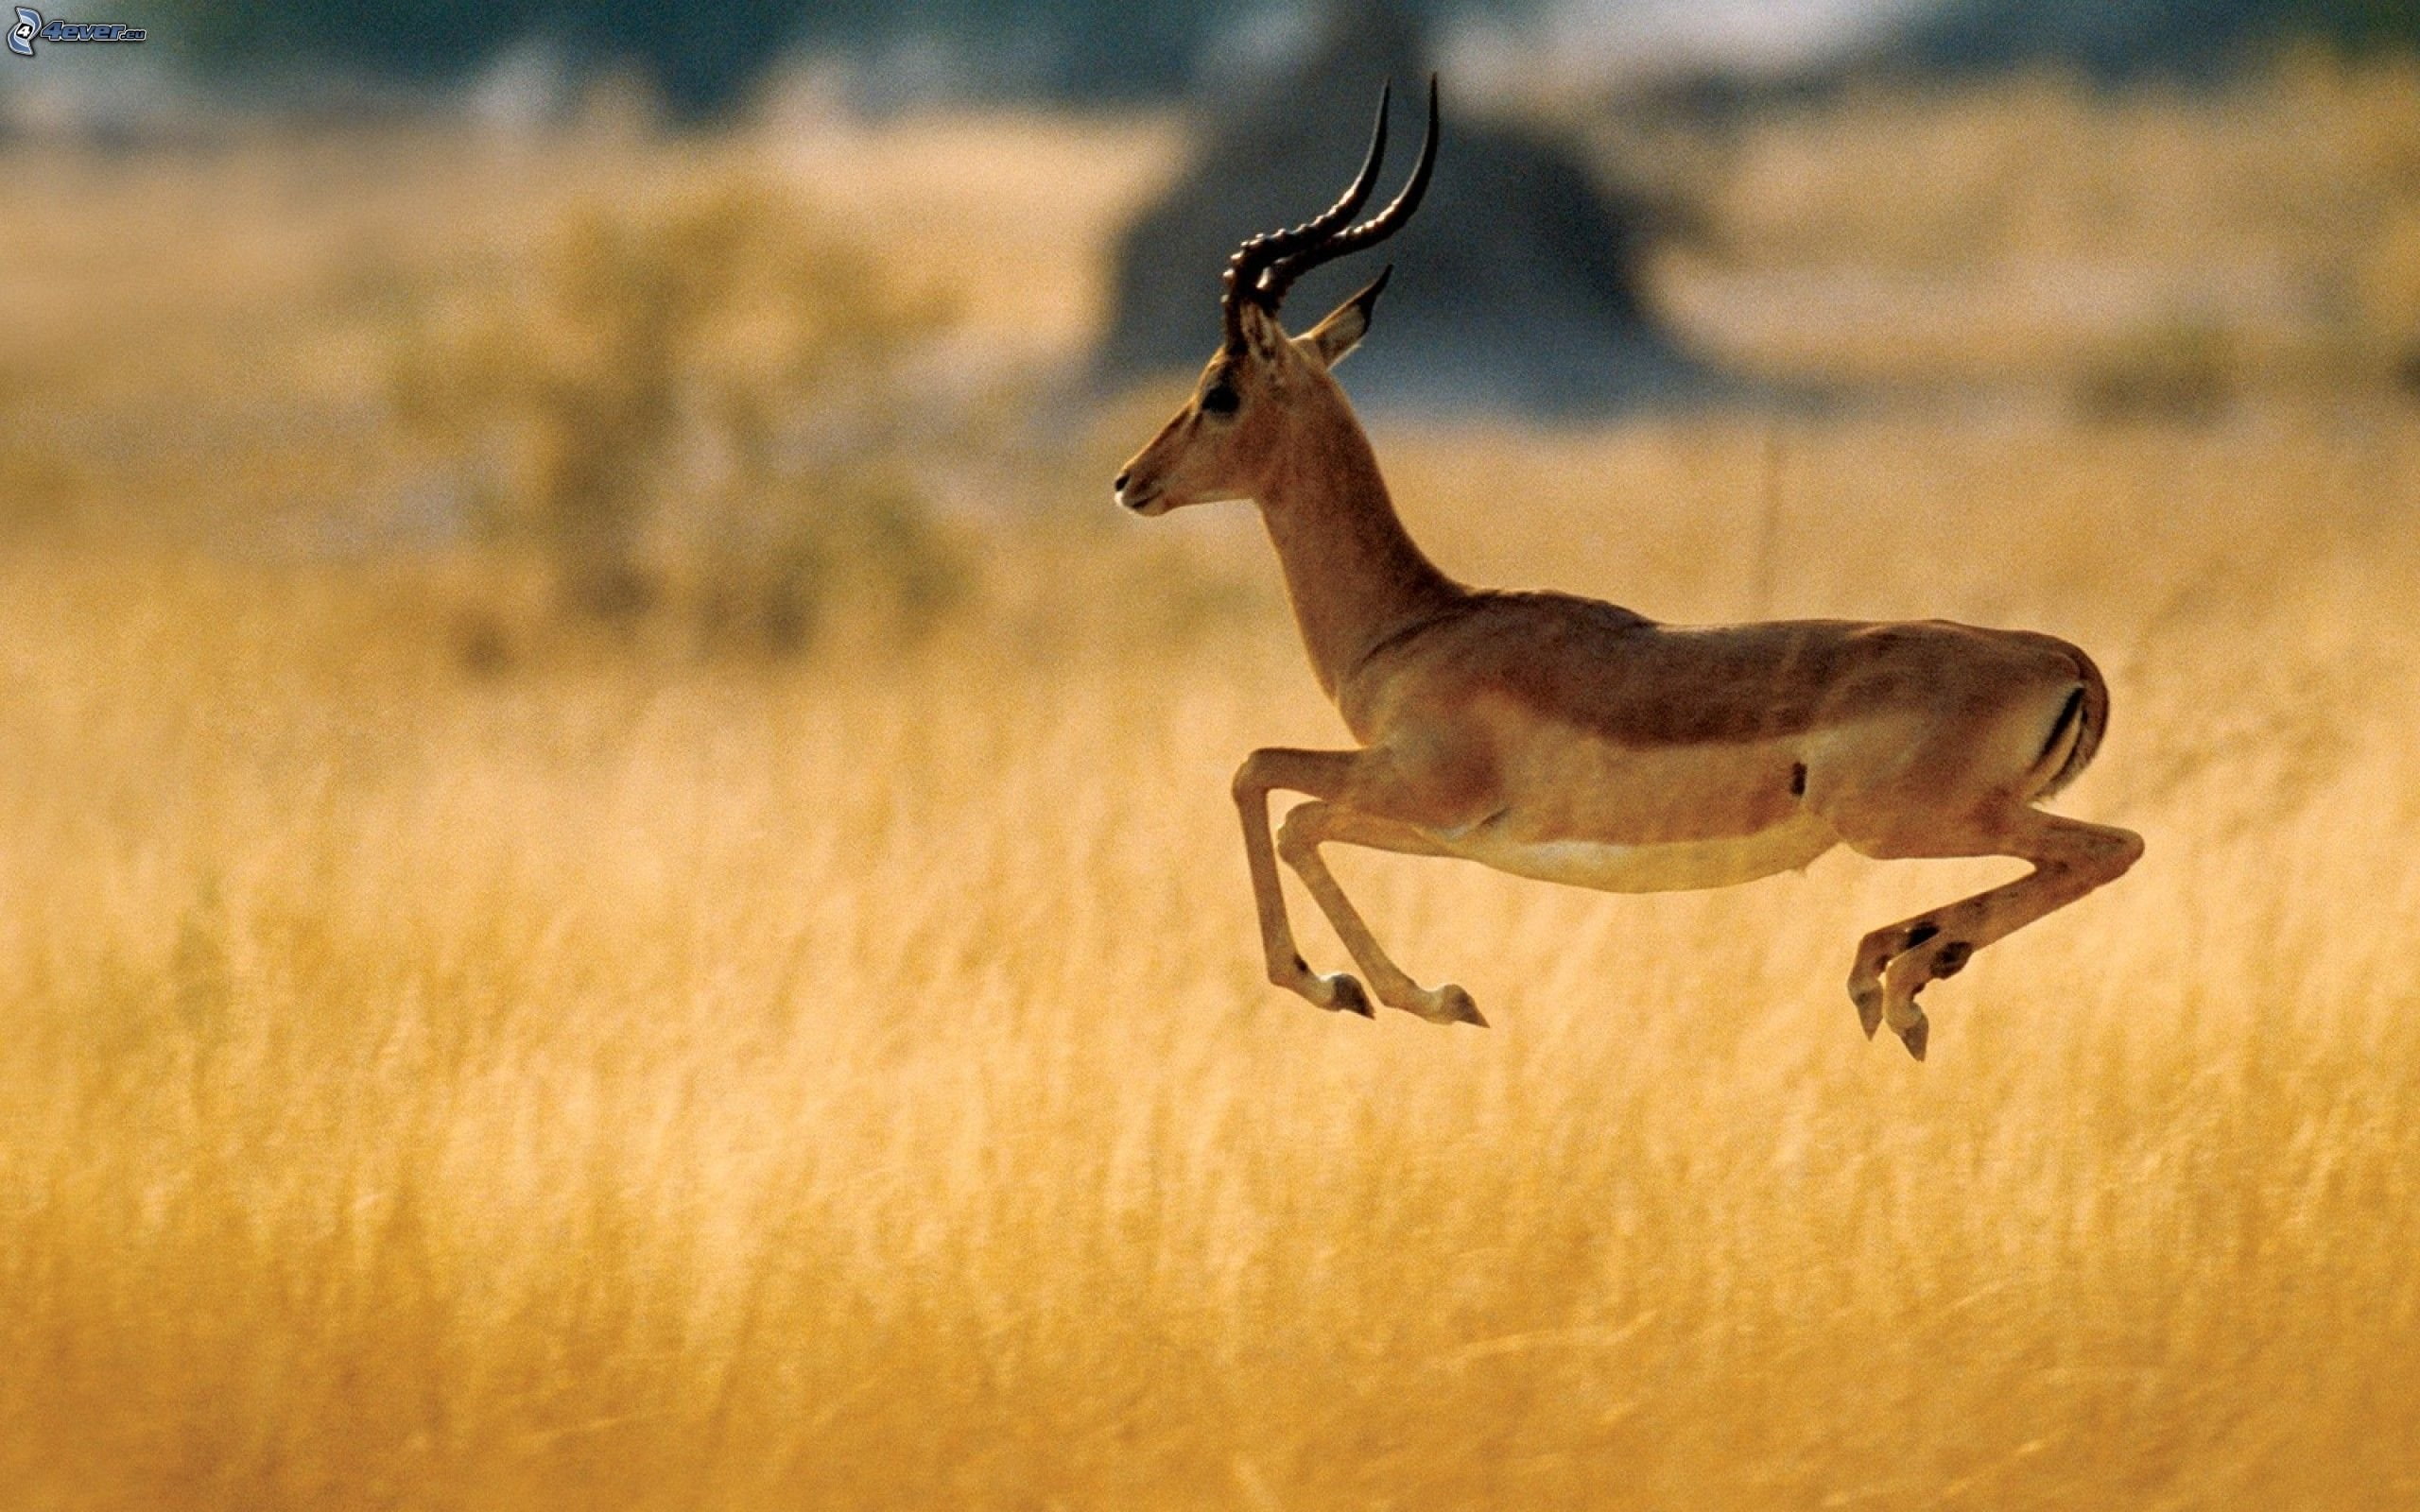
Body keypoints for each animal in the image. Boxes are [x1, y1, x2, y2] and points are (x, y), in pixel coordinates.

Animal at [1110, 78, 2142, 1059]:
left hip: (1908, 822)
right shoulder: (1455, 835)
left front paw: (1376, 992)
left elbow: (1266, 787)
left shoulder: (1422, 788)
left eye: (1219, 389)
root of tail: (2061, 659)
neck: (1417, 625)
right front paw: (1408, 994)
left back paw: (1896, 979)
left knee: (2110, 846)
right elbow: (1285, 805)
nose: (1130, 481)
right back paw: (1894, 970)